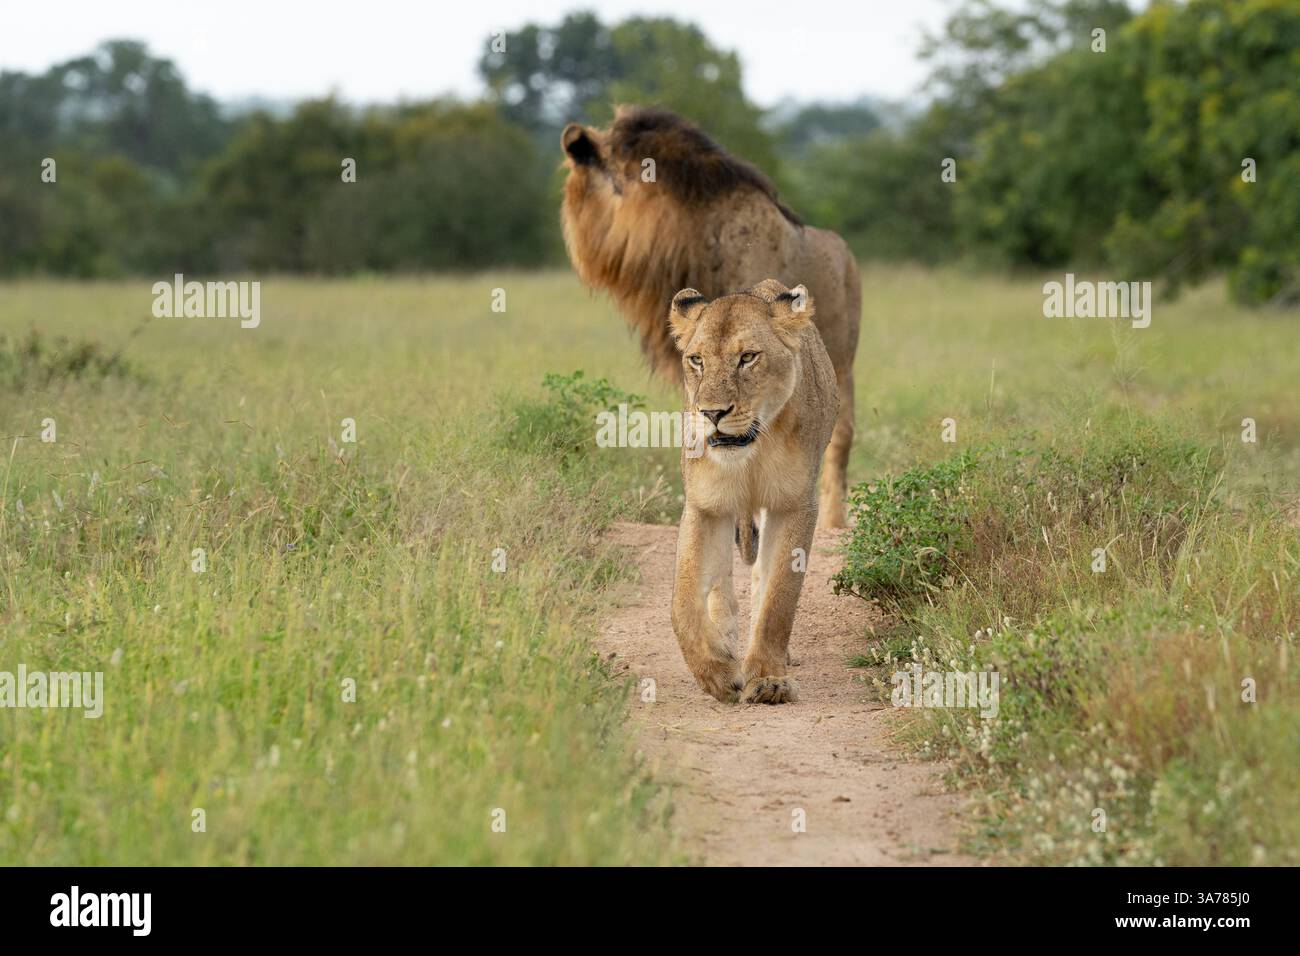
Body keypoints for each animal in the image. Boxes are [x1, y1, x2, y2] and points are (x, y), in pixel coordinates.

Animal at [668, 279, 837, 704]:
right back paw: (725, 636)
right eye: (696, 360)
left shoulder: (795, 504)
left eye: (747, 357)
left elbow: (779, 596)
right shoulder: (705, 504)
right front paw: (716, 673)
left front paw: (767, 679)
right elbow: (682, 603)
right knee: (721, 582)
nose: (712, 413)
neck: (753, 449)